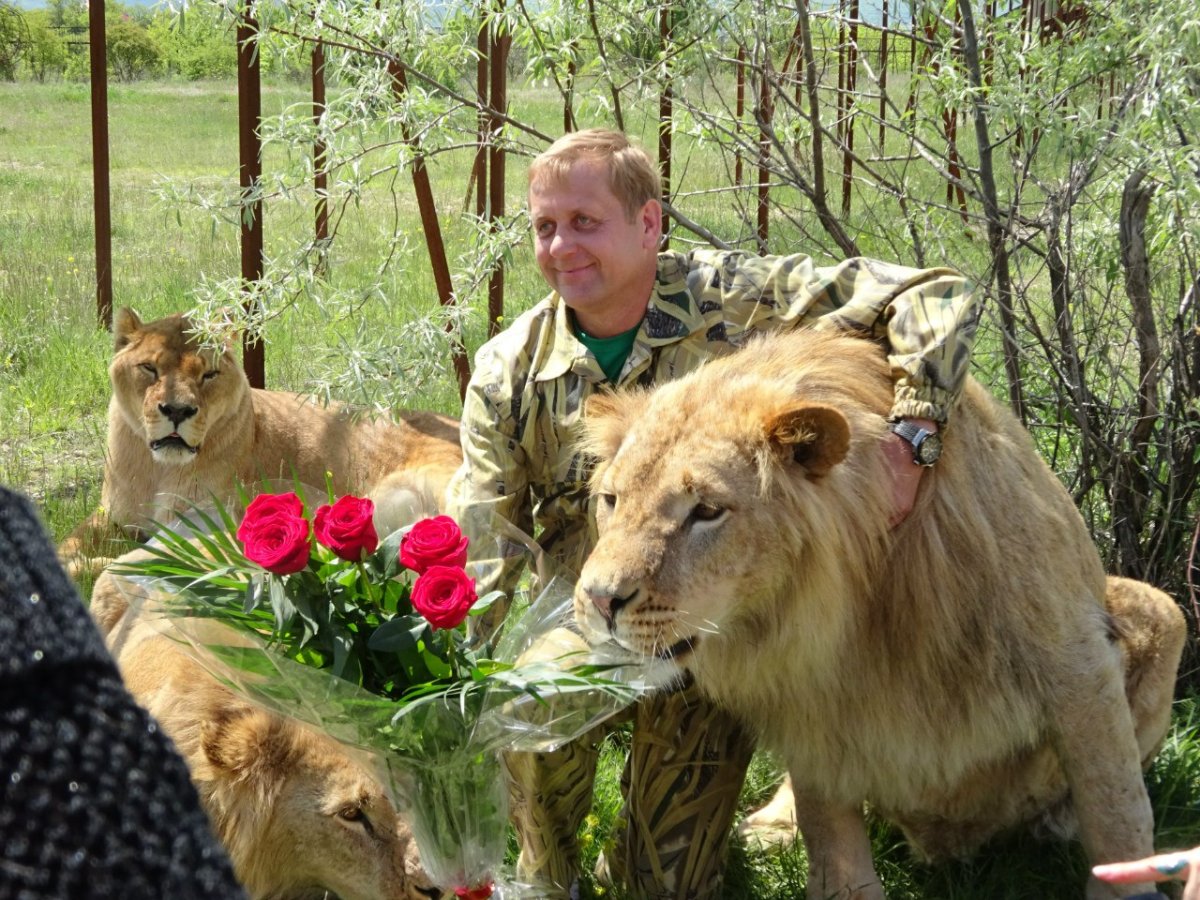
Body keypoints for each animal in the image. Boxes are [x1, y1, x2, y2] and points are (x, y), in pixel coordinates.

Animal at [59, 309, 463, 578]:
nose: (177, 410)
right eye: (149, 368)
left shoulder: (205, 524)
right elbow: (69, 542)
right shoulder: (112, 515)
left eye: (209, 374)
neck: (158, 469)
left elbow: (121, 562)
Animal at [576, 328, 1185, 900]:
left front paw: (1129, 888)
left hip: (1165, 609)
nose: (600, 600)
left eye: (705, 511)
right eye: (612, 500)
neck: (853, 604)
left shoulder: (1075, 663)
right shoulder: (805, 697)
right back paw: (773, 825)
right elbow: (830, 830)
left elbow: (1114, 799)